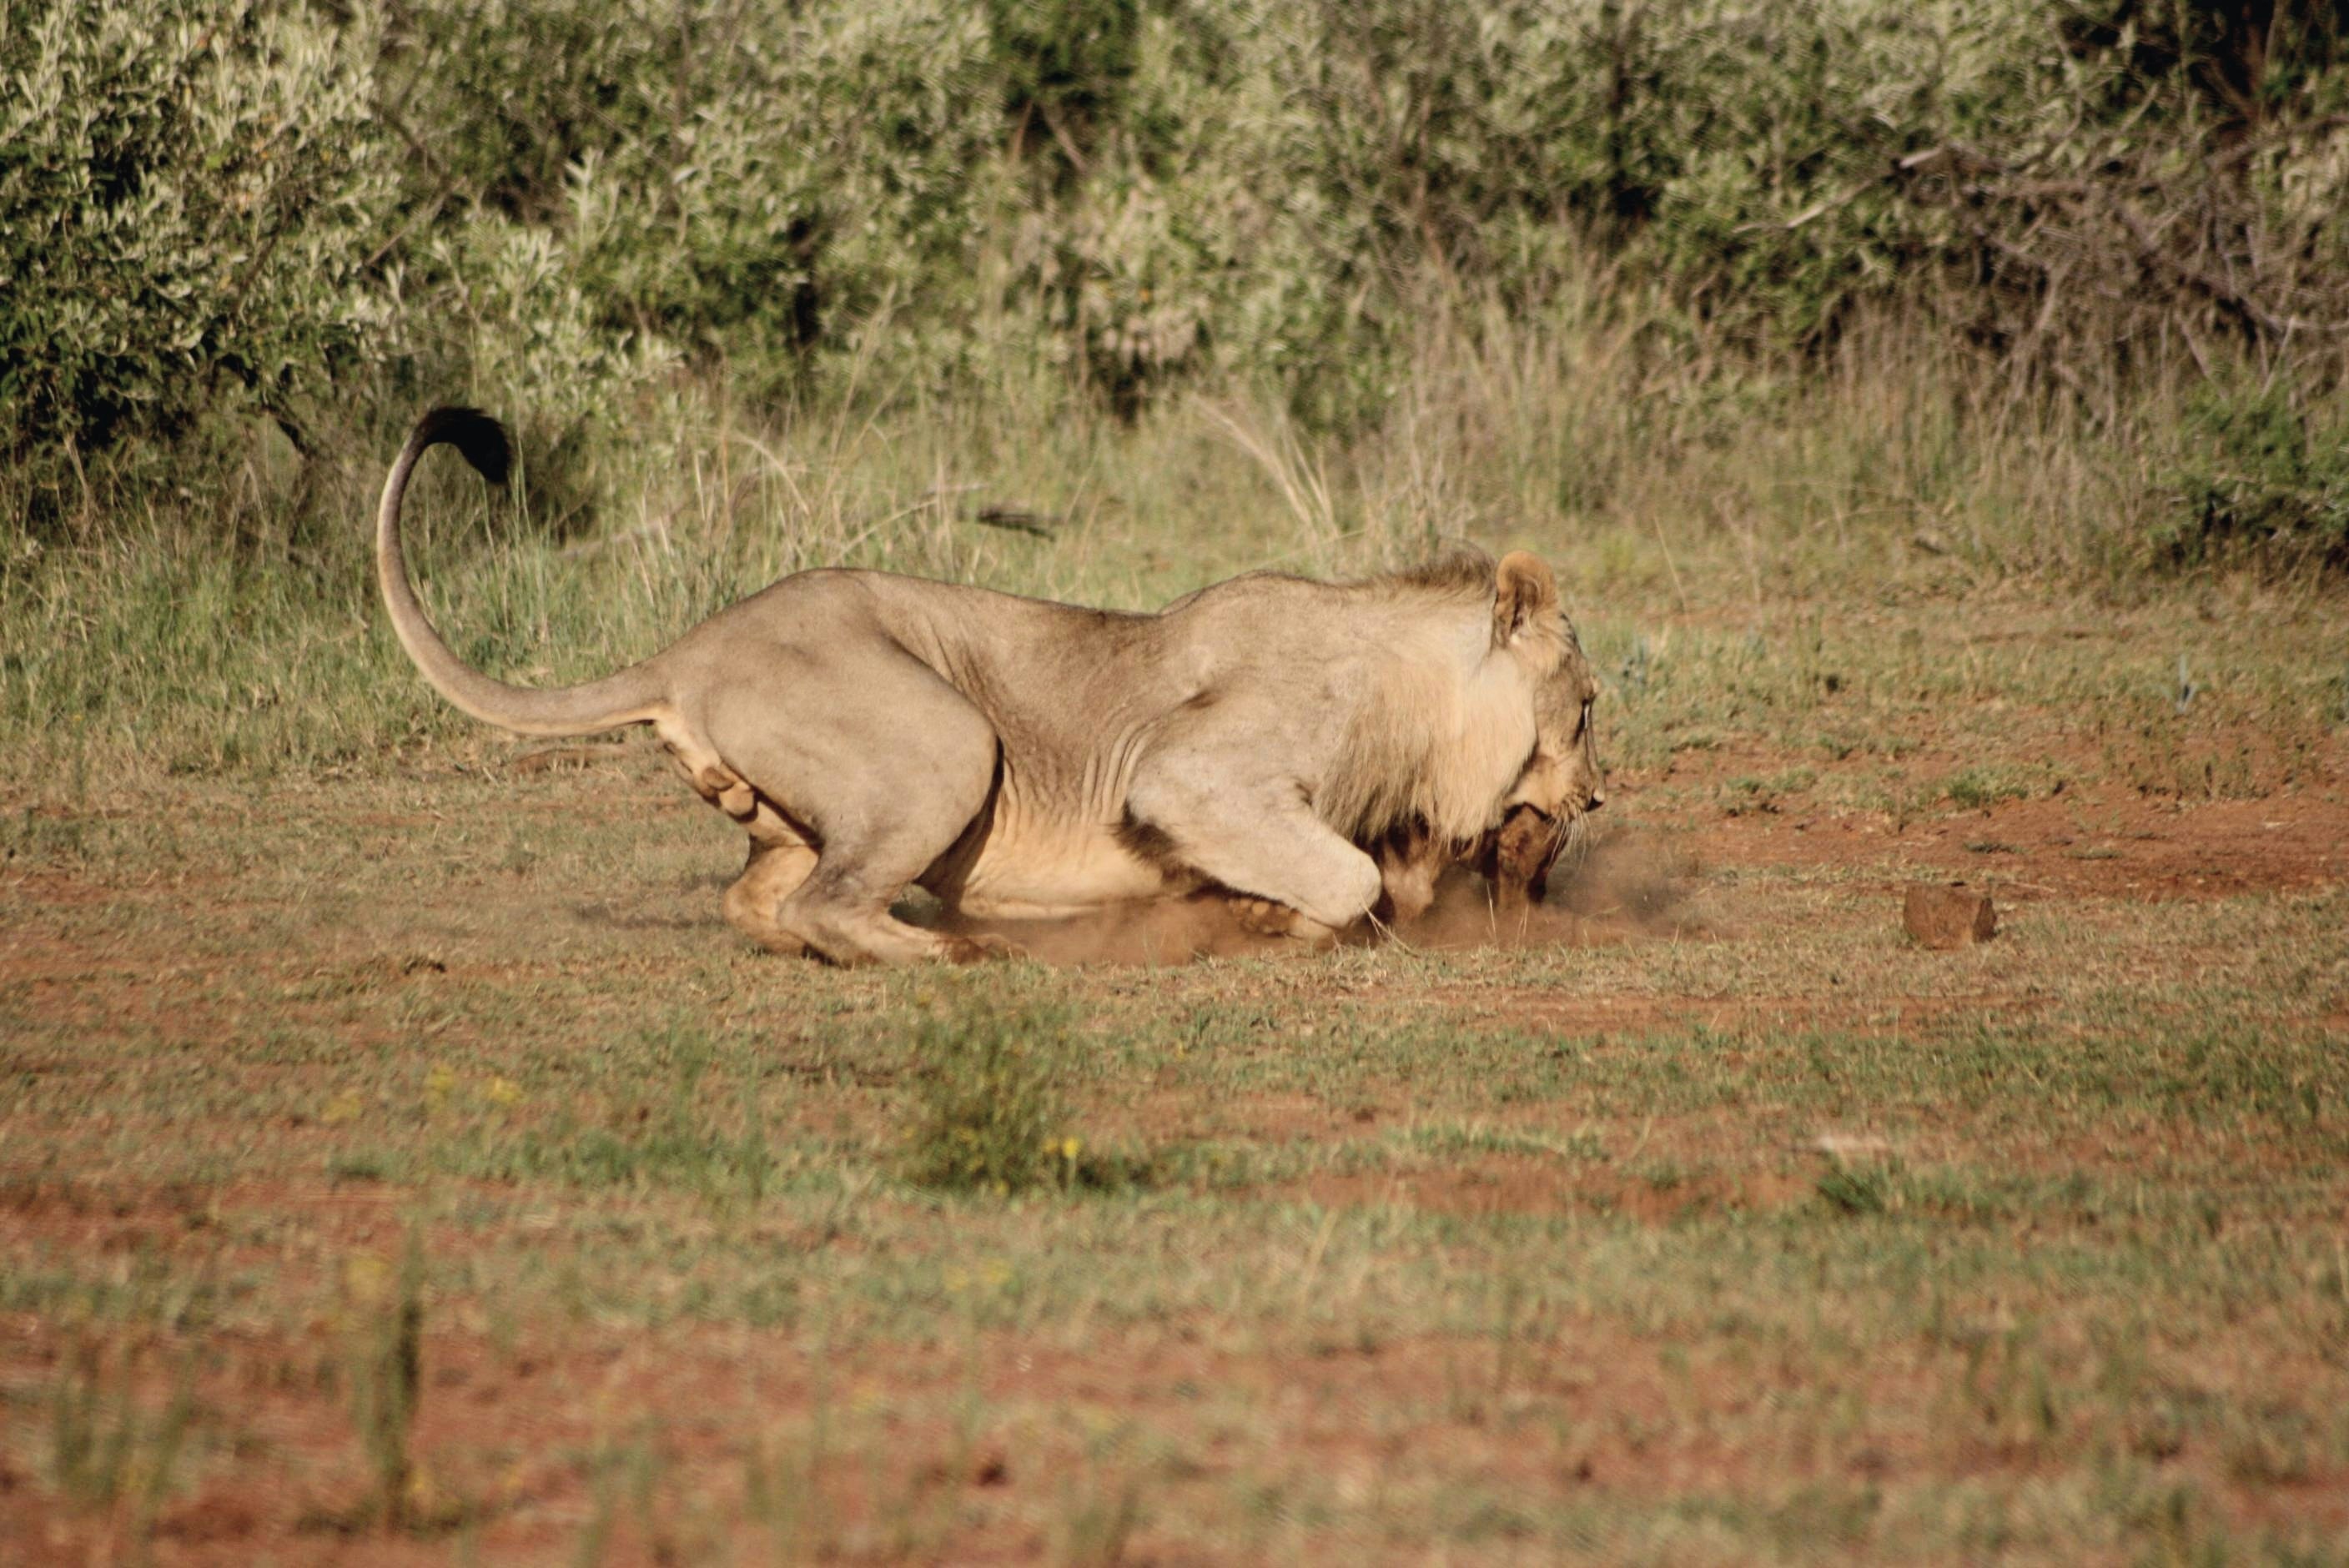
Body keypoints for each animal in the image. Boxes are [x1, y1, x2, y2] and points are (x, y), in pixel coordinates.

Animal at [376, 407, 1606, 964]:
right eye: (1588, 707)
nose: (1594, 798)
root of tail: (692, 645)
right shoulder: (1189, 775)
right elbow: (1345, 878)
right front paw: (1263, 912)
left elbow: (1378, 880)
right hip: (955, 738)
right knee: (830, 903)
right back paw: (957, 953)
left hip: (813, 806)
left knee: (763, 899)